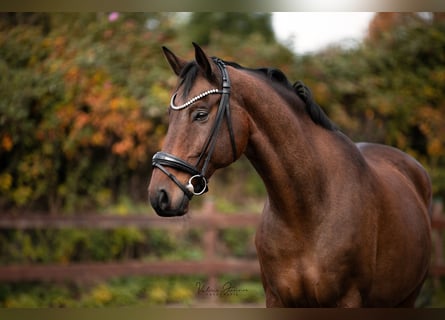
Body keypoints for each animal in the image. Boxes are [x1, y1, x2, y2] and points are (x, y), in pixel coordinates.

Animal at [147, 43, 432, 308]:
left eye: (201, 114)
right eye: (170, 115)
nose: (159, 195)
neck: (306, 213)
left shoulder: (348, 300)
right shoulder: (277, 298)